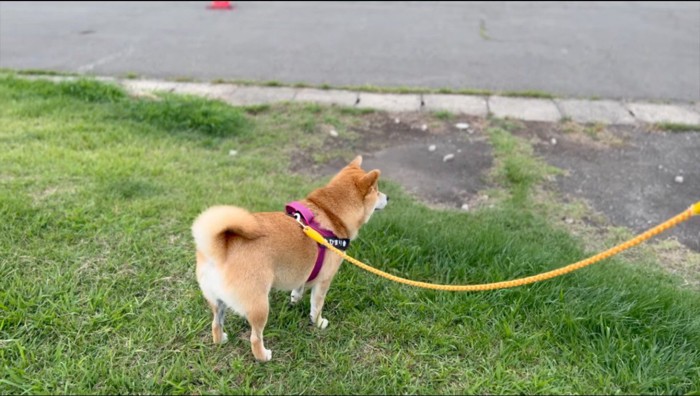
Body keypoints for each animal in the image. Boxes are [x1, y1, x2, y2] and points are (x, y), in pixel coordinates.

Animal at [191, 156, 388, 360]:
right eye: (377, 190)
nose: (387, 197)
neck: (330, 213)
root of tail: (219, 249)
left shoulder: (304, 270)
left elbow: (300, 286)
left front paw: (295, 299)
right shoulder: (324, 281)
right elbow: (317, 306)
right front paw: (318, 322)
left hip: (216, 301)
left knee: (216, 323)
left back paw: (220, 339)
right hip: (260, 306)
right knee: (255, 338)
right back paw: (263, 356)